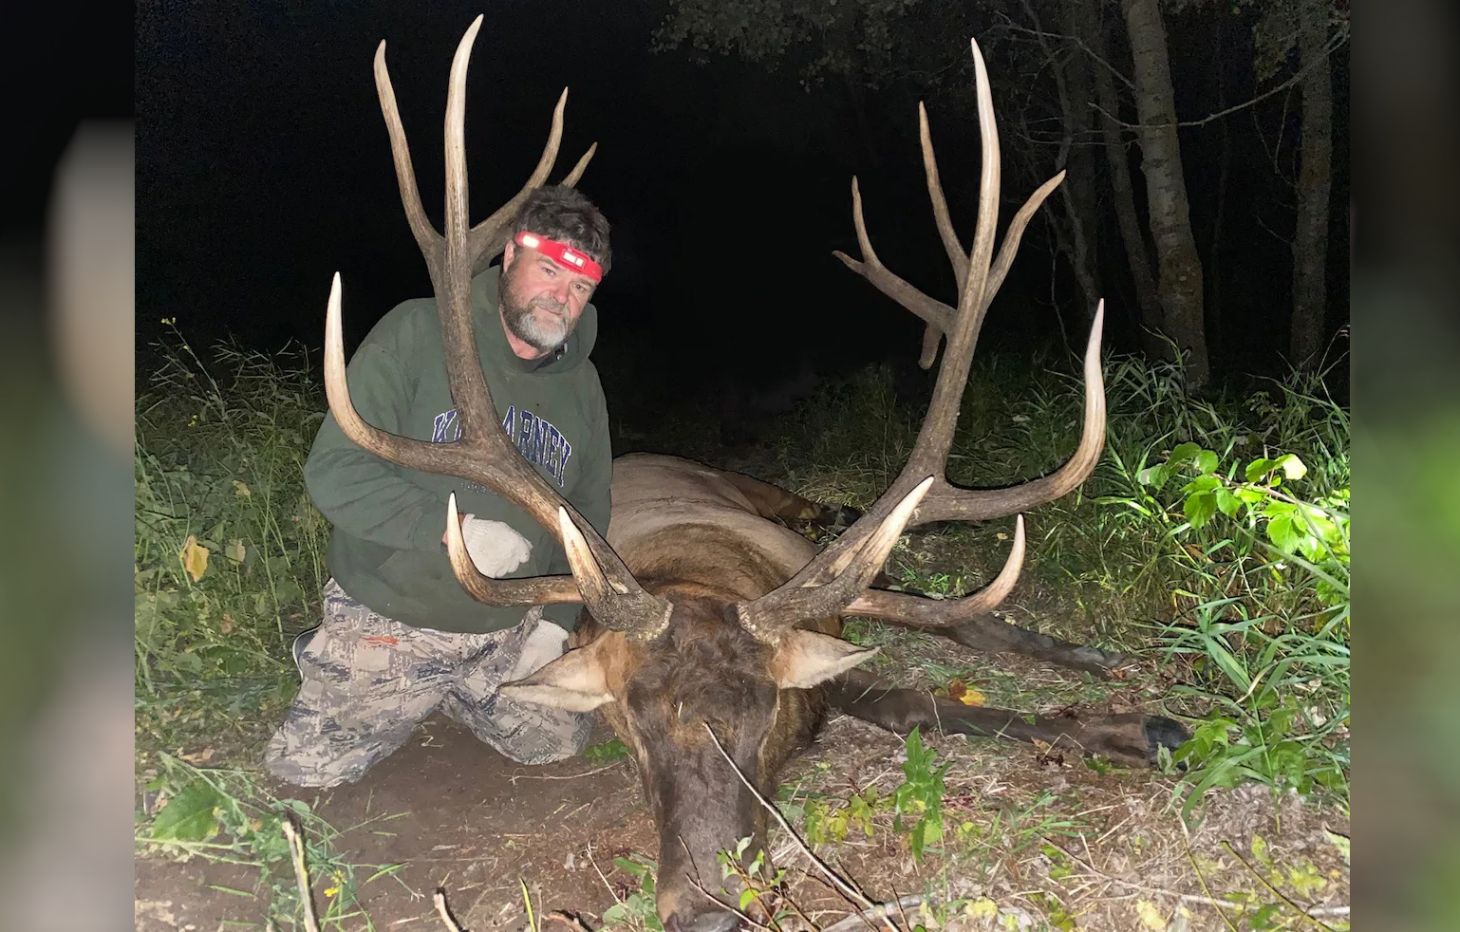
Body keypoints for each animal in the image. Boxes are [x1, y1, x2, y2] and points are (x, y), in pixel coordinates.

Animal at [321, 17, 1188, 932]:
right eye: (627, 727)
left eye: (758, 716)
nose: (707, 909)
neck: (702, 574)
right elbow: (904, 701)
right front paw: (1129, 727)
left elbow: (951, 637)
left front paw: (1134, 715)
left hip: (759, 496)